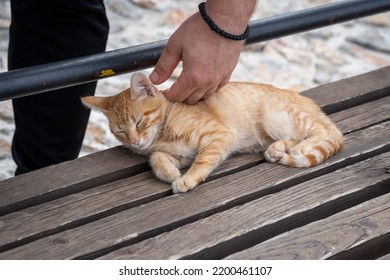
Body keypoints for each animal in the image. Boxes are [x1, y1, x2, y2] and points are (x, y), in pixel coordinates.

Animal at [82, 72, 344, 192]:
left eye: (139, 122)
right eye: (120, 132)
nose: (135, 142)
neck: (163, 133)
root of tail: (312, 104)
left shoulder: (218, 136)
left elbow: (203, 161)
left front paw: (186, 180)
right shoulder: (180, 154)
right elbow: (156, 157)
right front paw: (169, 172)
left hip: (279, 117)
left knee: (325, 134)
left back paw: (300, 147)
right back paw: (276, 149)